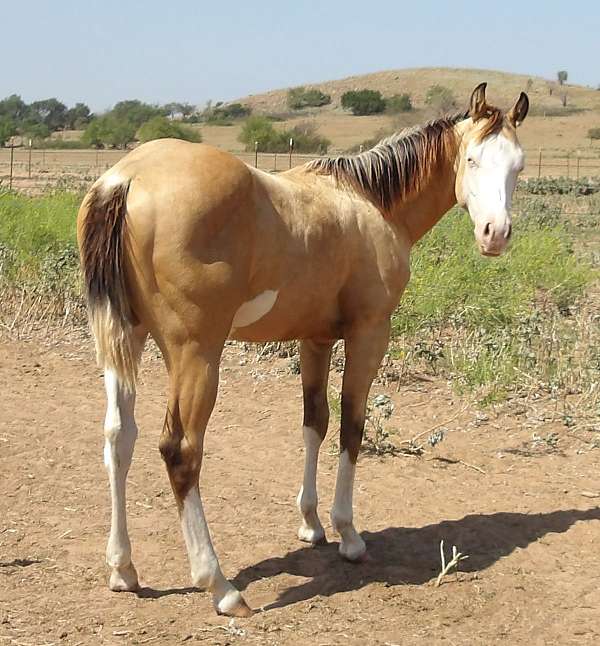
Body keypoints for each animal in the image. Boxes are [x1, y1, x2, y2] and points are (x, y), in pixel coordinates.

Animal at [77, 83, 528, 617]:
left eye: (518, 165)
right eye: (473, 158)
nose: (495, 234)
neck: (370, 201)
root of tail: (126, 178)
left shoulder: (315, 339)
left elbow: (315, 422)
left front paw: (311, 524)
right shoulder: (369, 334)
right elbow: (352, 427)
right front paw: (348, 534)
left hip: (126, 339)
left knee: (118, 438)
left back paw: (122, 569)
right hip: (195, 354)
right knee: (180, 451)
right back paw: (220, 586)